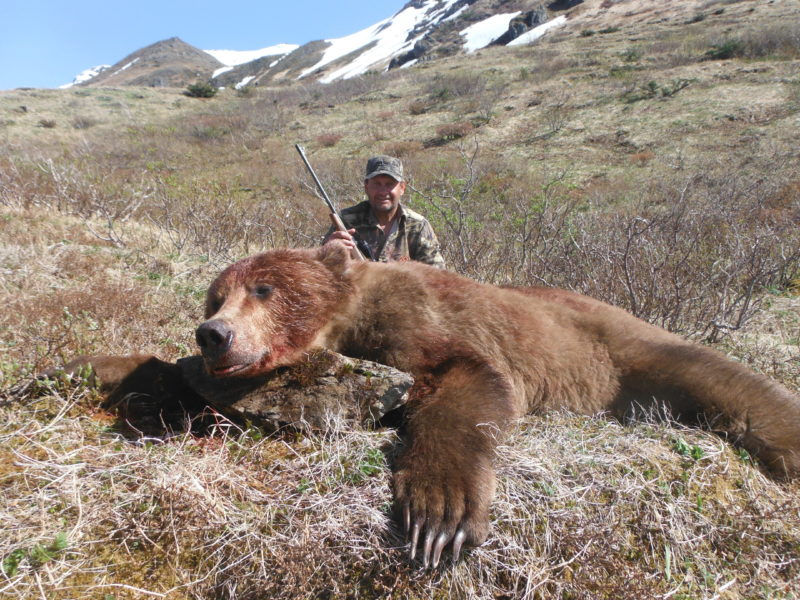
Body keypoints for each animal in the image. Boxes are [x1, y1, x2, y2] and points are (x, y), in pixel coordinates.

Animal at [57, 244, 800, 569]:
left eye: (265, 289)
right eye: (217, 296)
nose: (214, 334)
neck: (346, 321)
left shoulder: (417, 324)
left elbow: (466, 382)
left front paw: (437, 516)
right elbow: (162, 376)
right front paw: (82, 365)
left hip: (630, 351)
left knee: (734, 387)